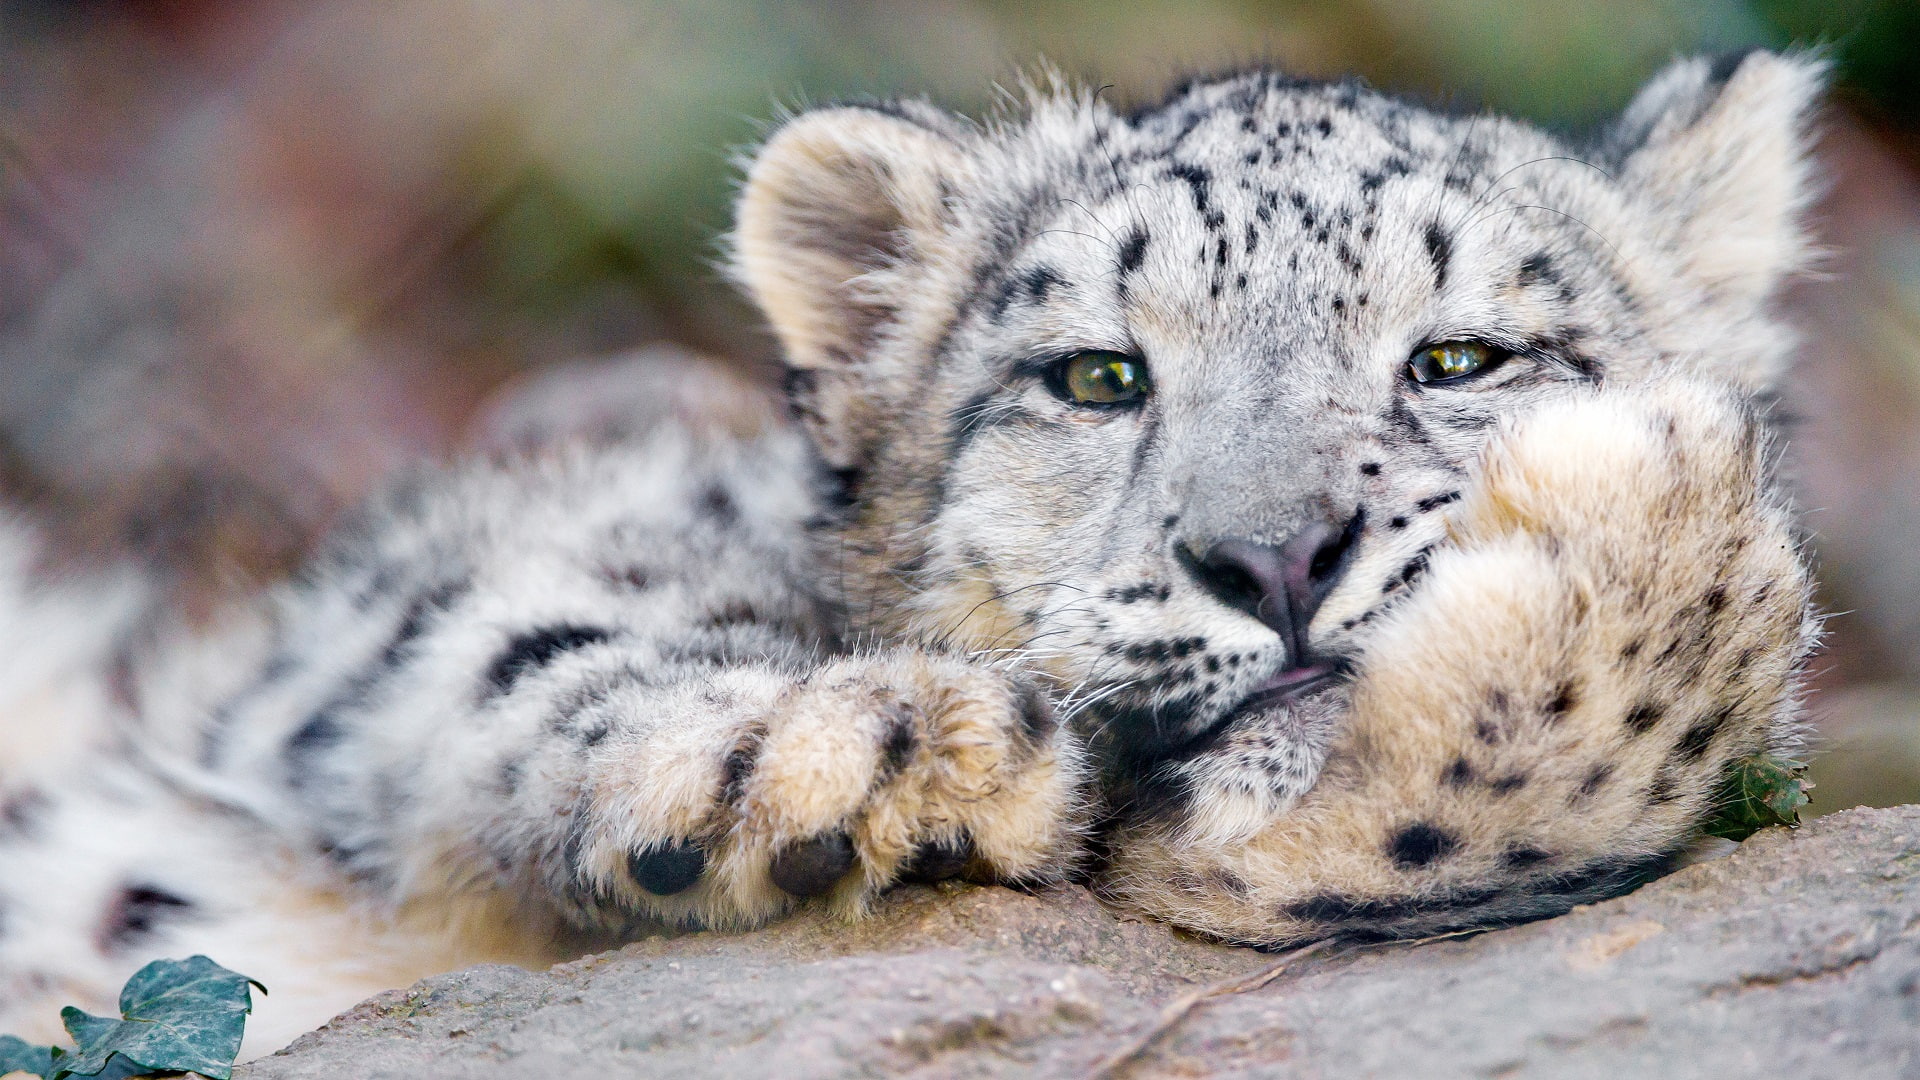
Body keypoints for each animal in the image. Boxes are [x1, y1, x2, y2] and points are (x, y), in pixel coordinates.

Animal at [0, 50, 1823, 1057]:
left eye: (1460, 357)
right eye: (1099, 375)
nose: (1278, 556)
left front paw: (1655, 527)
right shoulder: (397, 621)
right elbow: (522, 635)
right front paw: (853, 750)